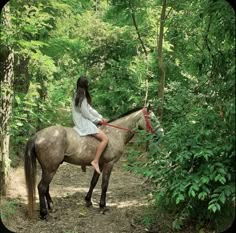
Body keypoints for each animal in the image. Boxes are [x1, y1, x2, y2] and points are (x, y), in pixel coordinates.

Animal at [24, 106, 164, 219]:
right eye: (152, 119)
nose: (162, 134)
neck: (115, 133)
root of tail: (37, 136)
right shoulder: (109, 164)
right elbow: (104, 185)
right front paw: (102, 206)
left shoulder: (100, 165)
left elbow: (93, 182)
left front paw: (88, 201)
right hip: (51, 168)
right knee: (42, 187)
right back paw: (44, 213)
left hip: (49, 168)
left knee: (45, 187)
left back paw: (51, 206)